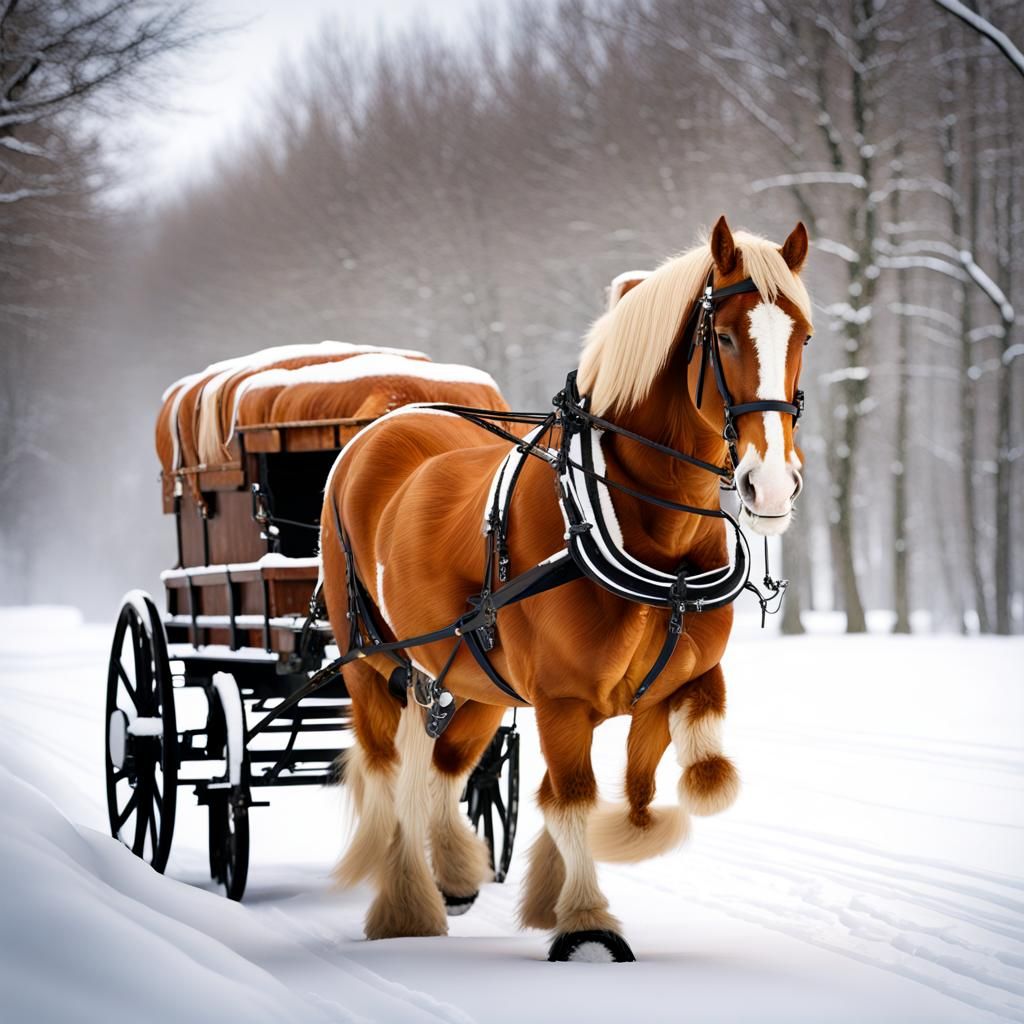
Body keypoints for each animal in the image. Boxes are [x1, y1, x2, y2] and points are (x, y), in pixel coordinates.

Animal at [318, 216, 812, 962]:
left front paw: (582, 873)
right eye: (724, 337)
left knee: (441, 766)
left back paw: (455, 870)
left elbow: (685, 787)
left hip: (473, 678)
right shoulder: (561, 698)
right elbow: (572, 796)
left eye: (803, 335)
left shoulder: (686, 681)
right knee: (387, 774)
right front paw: (585, 921)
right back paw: (406, 903)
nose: (772, 486)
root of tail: (387, 419)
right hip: (370, 663)